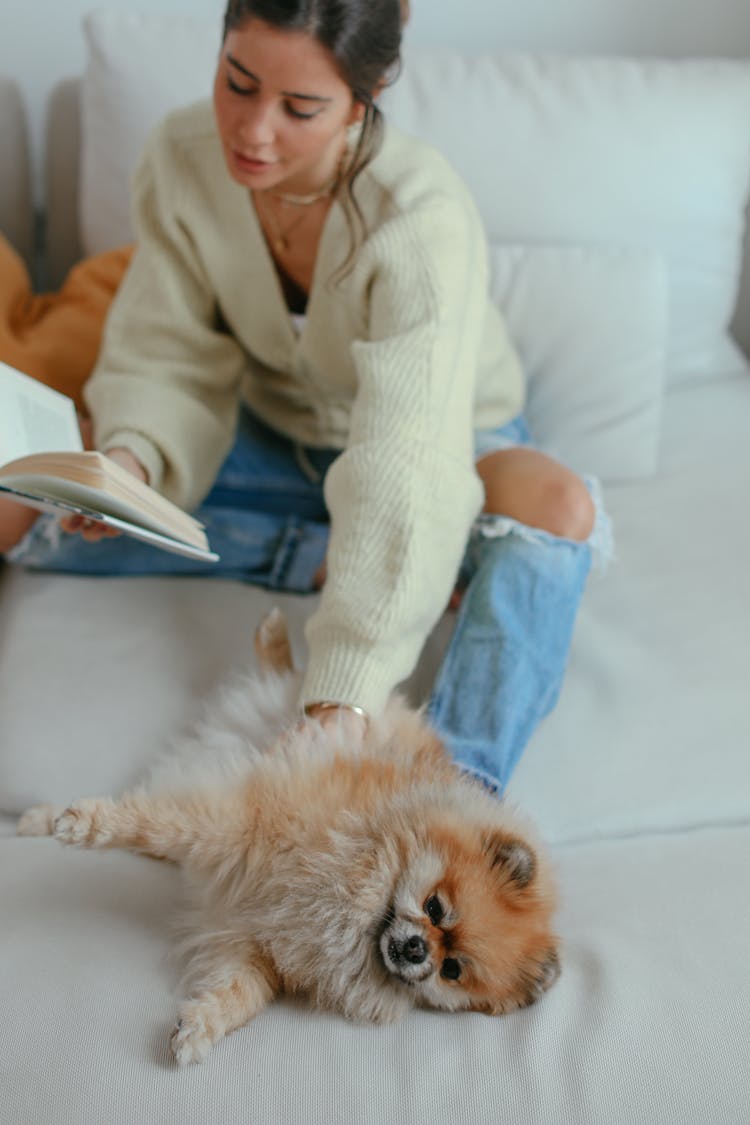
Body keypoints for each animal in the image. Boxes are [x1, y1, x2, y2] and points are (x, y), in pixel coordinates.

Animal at [17, 607, 559, 1062]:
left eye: (453, 970)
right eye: (435, 907)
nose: (415, 950)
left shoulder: (254, 946)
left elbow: (243, 993)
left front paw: (202, 1027)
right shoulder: (239, 824)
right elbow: (151, 825)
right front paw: (91, 826)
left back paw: (33, 819)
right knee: (294, 681)